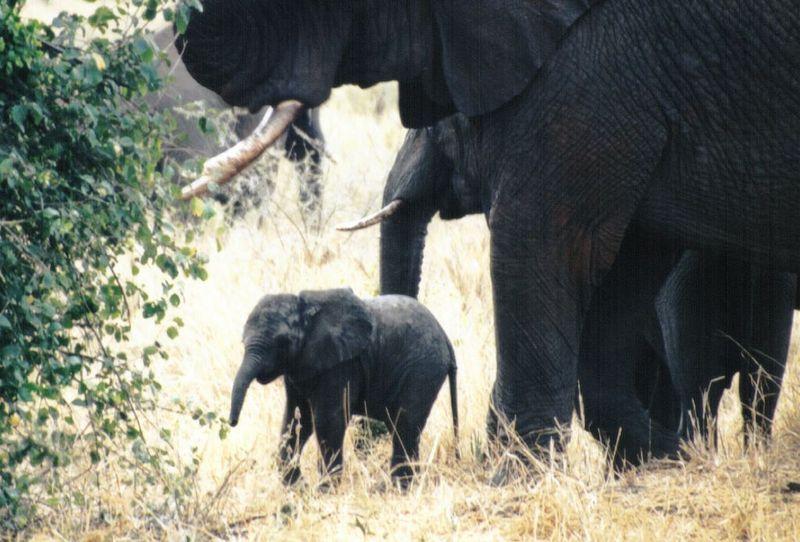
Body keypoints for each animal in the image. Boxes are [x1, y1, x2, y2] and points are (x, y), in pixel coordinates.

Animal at [178, 0, 800, 460]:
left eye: (443, 122)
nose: (371, 435)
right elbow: (620, 274)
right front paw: (660, 461)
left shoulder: (593, 74)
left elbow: (538, 246)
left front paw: (517, 475)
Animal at [228, 288, 460, 488]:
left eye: (282, 341)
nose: (232, 423)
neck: (306, 311)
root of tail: (446, 339)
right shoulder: (299, 367)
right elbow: (297, 420)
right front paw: (298, 488)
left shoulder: (341, 365)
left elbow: (327, 420)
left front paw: (323, 490)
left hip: (423, 369)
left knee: (405, 424)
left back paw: (390, 489)